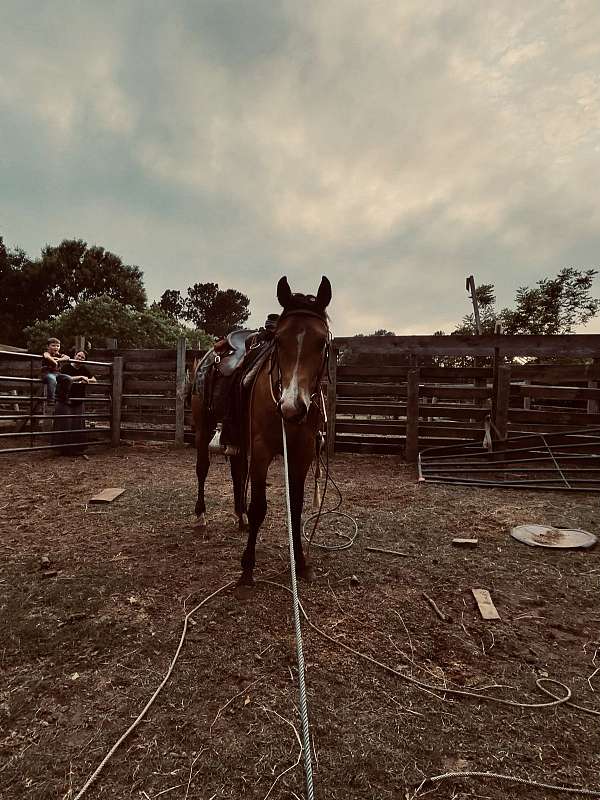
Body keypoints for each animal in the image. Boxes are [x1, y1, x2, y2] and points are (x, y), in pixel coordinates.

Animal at [191, 275, 332, 586]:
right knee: (202, 468)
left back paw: (239, 516)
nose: (292, 407)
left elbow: (296, 507)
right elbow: (259, 507)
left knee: (236, 470)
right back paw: (201, 517)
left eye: (322, 342)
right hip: (203, 427)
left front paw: (301, 562)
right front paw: (247, 568)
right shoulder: (262, 451)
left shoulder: (302, 454)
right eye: (278, 340)